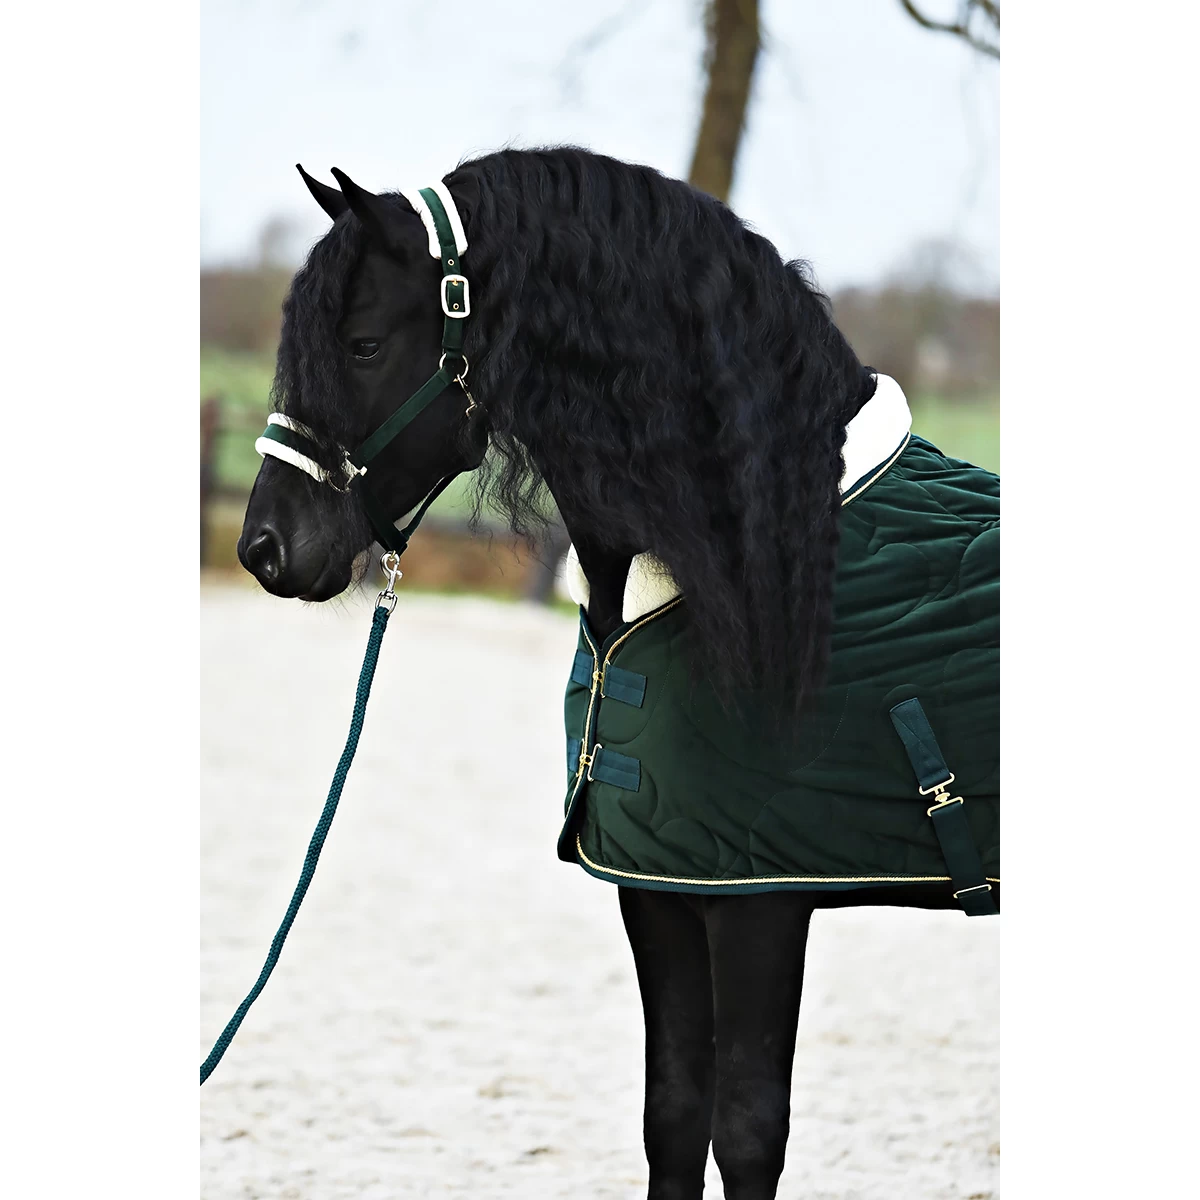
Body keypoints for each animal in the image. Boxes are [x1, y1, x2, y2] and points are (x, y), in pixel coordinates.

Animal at [237, 147, 999, 1200]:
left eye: (361, 344)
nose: (264, 549)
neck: (741, 567)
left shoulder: (760, 897)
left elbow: (748, 1130)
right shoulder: (662, 886)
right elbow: (673, 1114)